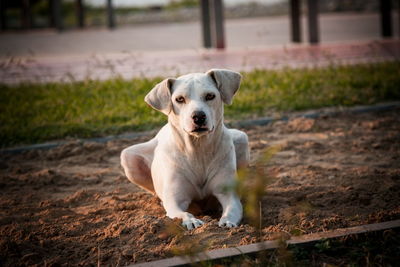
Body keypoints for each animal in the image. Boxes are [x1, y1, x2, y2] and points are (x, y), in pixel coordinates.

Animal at [120, 69, 248, 230]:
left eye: (210, 96)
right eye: (180, 99)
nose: (198, 116)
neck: (197, 149)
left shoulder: (228, 194)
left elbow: (231, 208)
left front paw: (227, 221)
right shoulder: (176, 200)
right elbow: (181, 213)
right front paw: (191, 221)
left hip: (242, 138)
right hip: (128, 156)